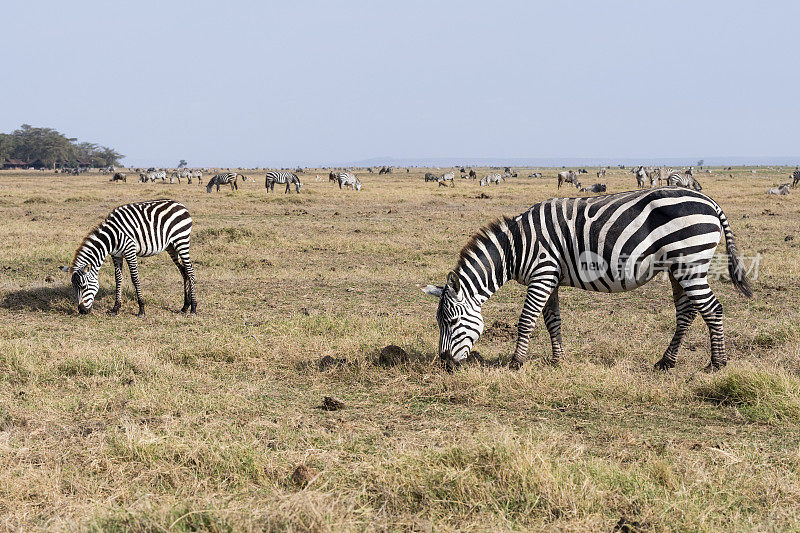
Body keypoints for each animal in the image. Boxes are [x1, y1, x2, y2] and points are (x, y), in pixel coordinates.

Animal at [58, 200, 197, 316]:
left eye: (84, 287)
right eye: (73, 287)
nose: (81, 311)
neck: (111, 238)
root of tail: (180, 205)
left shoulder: (130, 251)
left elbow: (135, 278)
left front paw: (141, 309)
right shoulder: (116, 255)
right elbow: (118, 279)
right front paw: (116, 308)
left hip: (181, 241)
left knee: (190, 271)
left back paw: (193, 308)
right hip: (171, 246)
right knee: (184, 271)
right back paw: (185, 306)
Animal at [422, 188, 752, 374]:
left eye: (451, 322)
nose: (444, 364)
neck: (517, 247)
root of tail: (710, 201)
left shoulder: (542, 272)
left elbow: (526, 320)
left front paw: (516, 363)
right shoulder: (551, 277)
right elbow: (552, 320)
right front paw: (558, 360)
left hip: (689, 261)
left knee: (712, 309)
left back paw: (717, 364)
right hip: (676, 267)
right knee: (687, 312)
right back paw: (666, 363)